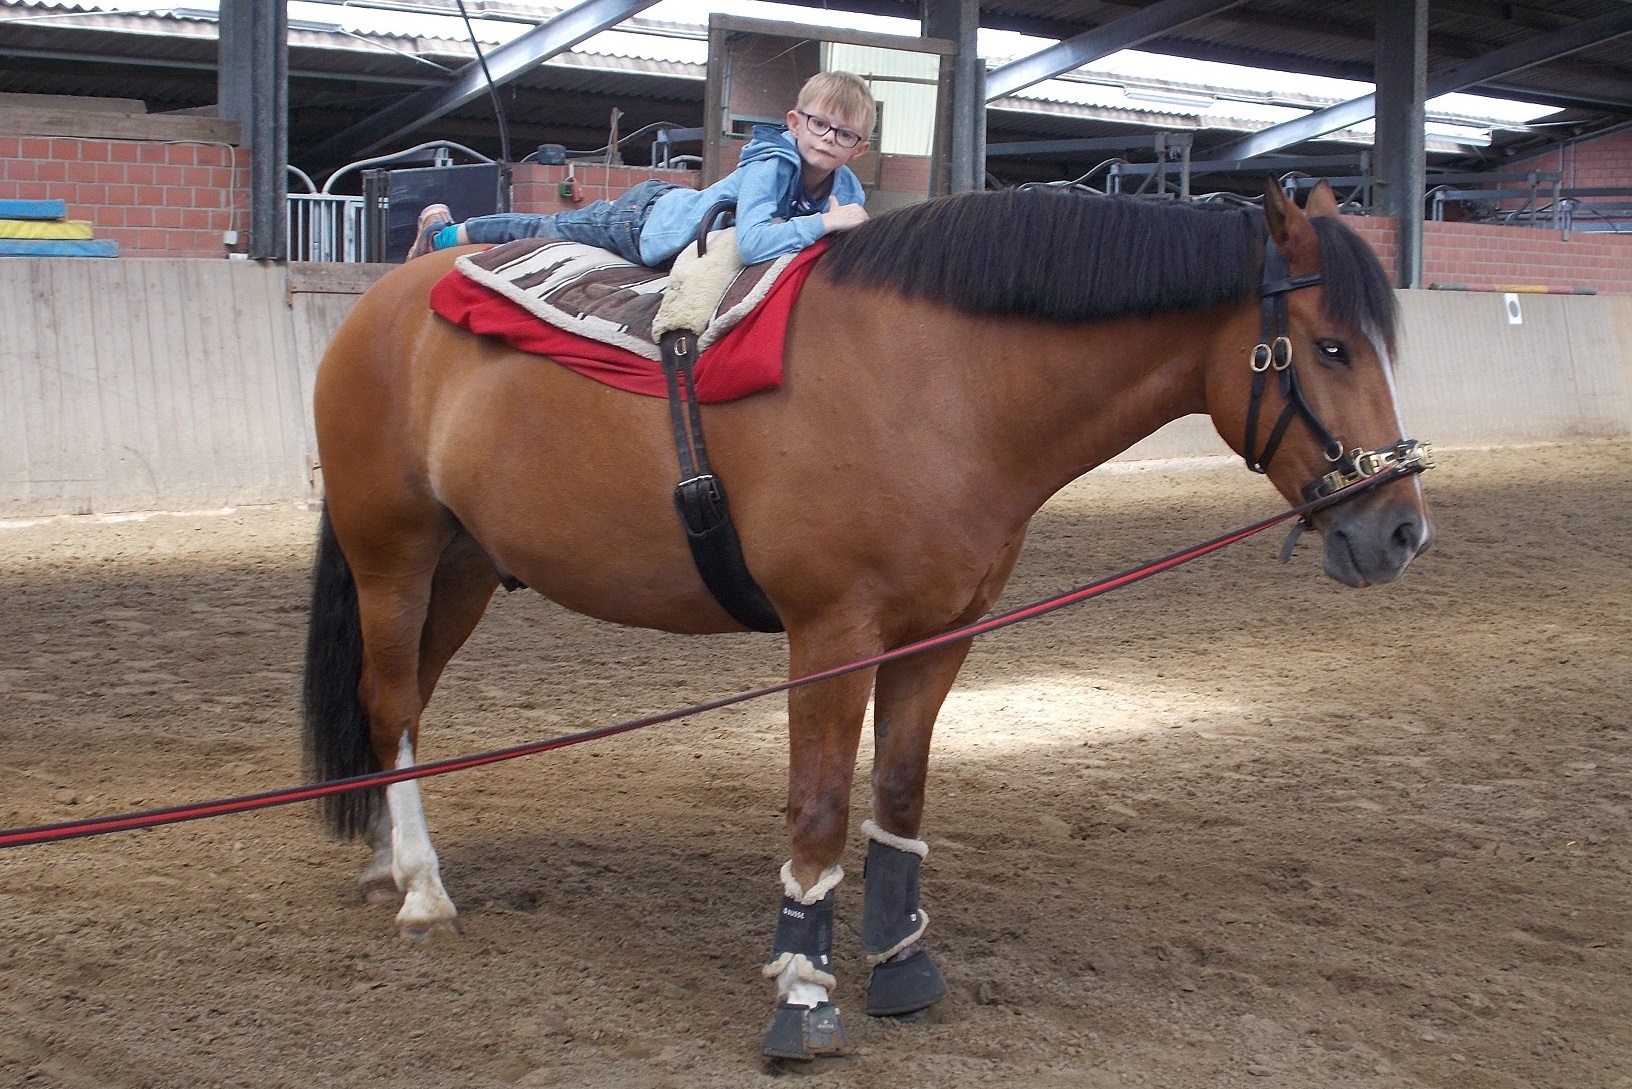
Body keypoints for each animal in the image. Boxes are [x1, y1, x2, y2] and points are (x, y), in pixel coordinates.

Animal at [303, 178, 1429, 1057]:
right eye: (1331, 347)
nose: (1402, 529)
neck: (942, 380)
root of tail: (386, 300)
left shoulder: (941, 635)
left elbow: (899, 790)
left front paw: (900, 961)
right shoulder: (830, 636)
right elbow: (818, 808)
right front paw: (803, 994)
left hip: (462, 568)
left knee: (401, 703)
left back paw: (388, 860)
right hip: (393, 556)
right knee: (392, 699)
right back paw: (422, 889)